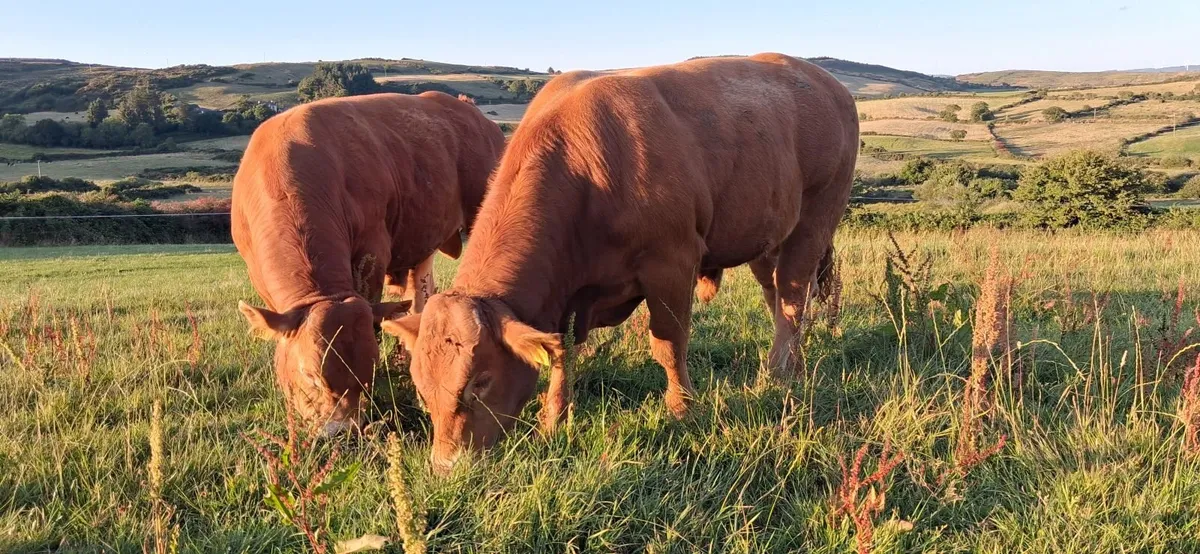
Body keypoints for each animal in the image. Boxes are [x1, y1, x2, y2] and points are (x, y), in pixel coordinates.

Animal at [381, 53, 859, 471]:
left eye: (478, 382)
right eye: (421, 389)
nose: (447, 466)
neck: (585, 173)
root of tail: (826, 81)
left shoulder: (672, 264)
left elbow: (668, 344)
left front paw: (682, 409)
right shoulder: (565, 293)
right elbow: (561, 354)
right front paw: (553, 421)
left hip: (817, 216)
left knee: (793, 296)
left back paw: (778, 373)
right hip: (766, 236)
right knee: (778, 296)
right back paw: (791, 365)